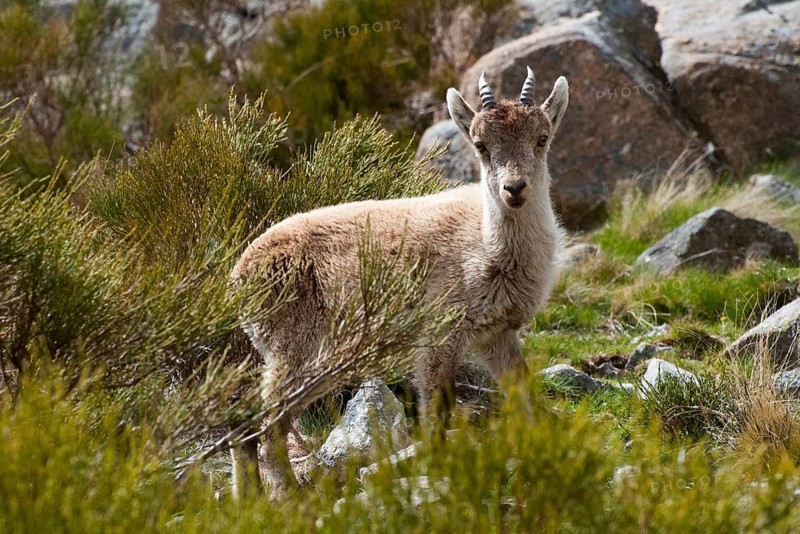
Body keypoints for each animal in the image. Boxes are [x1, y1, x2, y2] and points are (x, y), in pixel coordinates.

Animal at [230, 67, 569, 498]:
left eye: (541, 138)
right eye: (480, 145)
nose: (514, 189)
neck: (485, 244)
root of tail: (238, 275)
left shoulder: (495, 334)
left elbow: (522, 389)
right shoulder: (440, 331)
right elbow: (438, 408)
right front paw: (439, 471)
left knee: (245, 420)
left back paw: (250, 498)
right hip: (296, 351)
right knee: (269, 426)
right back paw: (289, 495)